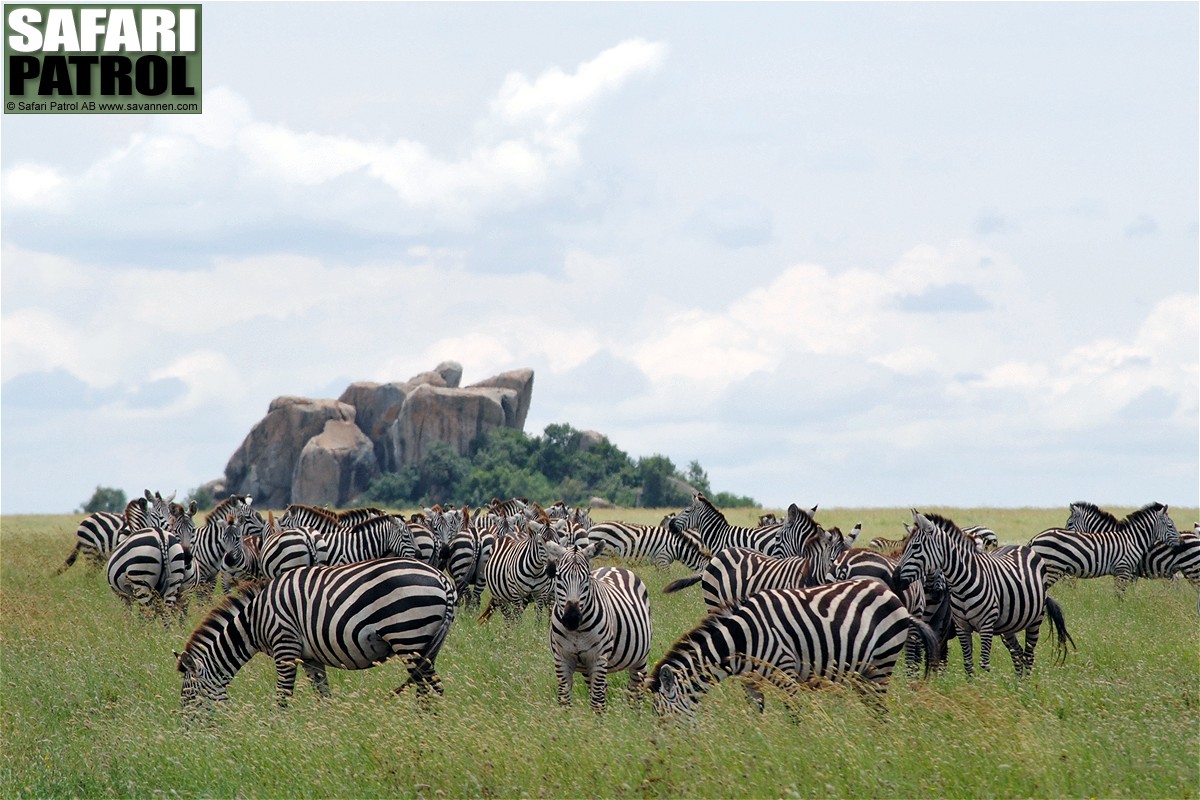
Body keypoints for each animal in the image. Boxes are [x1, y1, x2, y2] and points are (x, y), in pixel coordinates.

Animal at [175, 556, 456, 705]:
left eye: (189, 697)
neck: (254, 621)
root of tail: (441, 578)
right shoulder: (310, 658)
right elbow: (323, 696)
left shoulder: (285, 647)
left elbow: (283, 696)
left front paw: (278, 732)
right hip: (426, 644)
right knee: (429, 687)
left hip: (408, 637)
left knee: (431, 689)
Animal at [547, 542, 657, 710]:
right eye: (558, 577)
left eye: (587, 578)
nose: (572, 619)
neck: (576, 632)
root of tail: (614, 567)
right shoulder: (562, 658)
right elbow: (564, 699)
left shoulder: (598, 658)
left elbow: (597, 703)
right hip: (587, 667)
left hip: (640, 658)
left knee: (635, 691)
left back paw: (634, 715)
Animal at [648, 575, 936, 719]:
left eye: (662, 714)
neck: (740, 640)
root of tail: (892, 596)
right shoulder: (750, 681)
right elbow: (757, 714)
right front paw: (756, 743)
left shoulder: (786, 673)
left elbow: (794, 714)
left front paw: (799, 747)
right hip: (864, 673)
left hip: (881, 664)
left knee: (880, 711)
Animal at [892, 510, 1080, 681]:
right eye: (904, 547)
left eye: (915, 547)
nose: (894, 578)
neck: (962, 583)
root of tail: (1021, 547)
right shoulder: (961, 627)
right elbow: (966, 662)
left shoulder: (984, 625)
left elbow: (982, 662)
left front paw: (983, 687)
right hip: (1008, 626)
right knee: (1017, 652)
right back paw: (1018, 686)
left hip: (1035, 620)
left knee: (1028, 654)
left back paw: (1026, 686)